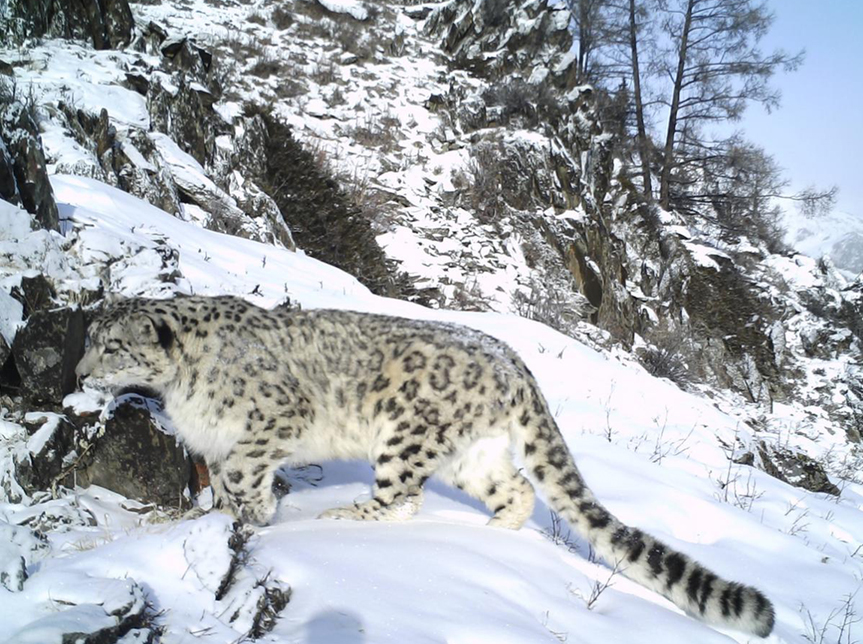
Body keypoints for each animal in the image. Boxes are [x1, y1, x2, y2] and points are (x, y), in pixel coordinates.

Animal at [76, 296, 776, 640]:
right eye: (89, 339)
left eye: (112, 346)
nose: (79, 373)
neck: (183, 387)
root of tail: (515, 361)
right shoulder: (217, 443)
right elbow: (223, 479)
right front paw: (223, 513)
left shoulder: (274, 420)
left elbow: (247, 471)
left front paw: (256, 513)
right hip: (472, 456)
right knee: (516, 490)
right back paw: (491, 535)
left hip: (405, 435)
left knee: (401, 498)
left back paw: (342, 516)